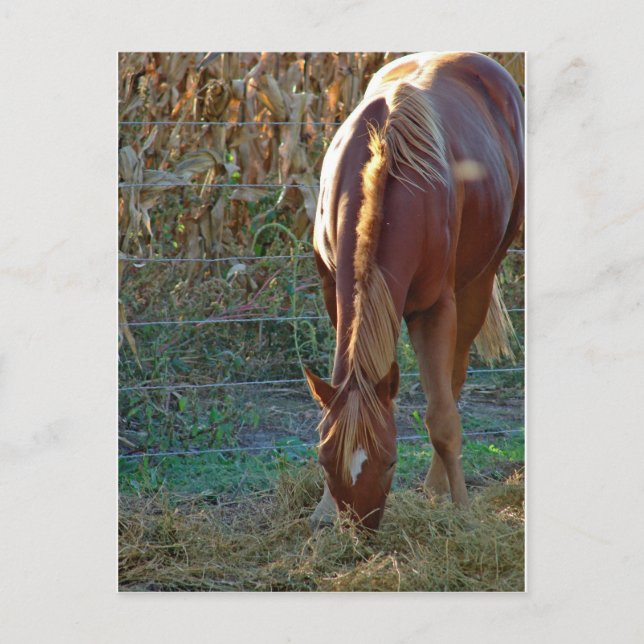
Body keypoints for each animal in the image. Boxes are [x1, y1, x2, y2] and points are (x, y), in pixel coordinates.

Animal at [303, 52, 524, 530]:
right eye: (325, 464)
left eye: (390, 462)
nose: (362, 531)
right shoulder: (333, 292)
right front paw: (323, 511)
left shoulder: (435, 307)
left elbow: (441, 417)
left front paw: (462, 512)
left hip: (478, 282)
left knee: (453, 383)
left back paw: (436, 489)